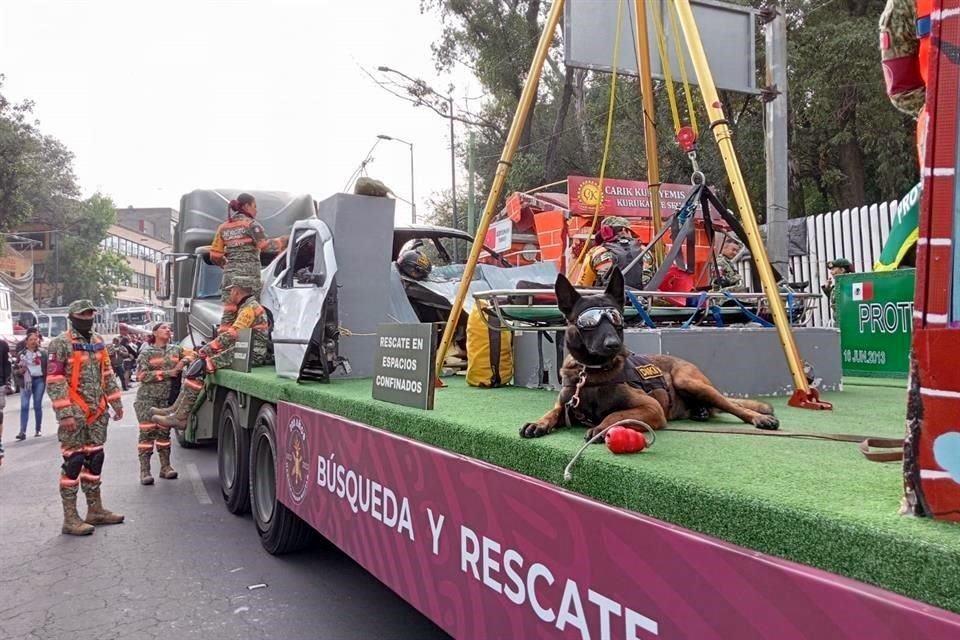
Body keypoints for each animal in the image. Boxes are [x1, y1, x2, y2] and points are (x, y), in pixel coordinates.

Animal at [516, 268, 780, 442]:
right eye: (588, 322)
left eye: (616, 319)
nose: (613, 344)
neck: (590, 373)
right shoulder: (566, 405)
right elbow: (553, 412)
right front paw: (539, 422)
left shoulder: (651, 408)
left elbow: (618, 414)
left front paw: (601, 427)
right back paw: (701, 412)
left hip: (688, 381)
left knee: (734, 406)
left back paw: (759, 418)